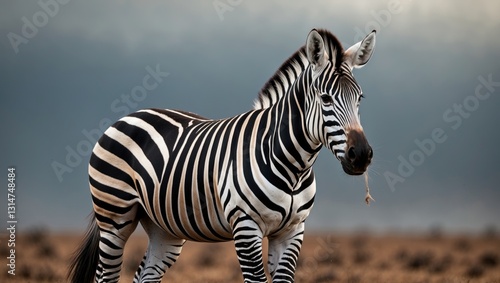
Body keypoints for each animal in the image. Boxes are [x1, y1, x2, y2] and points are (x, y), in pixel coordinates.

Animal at [69, 28, 376, 283]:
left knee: (144, 275)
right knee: (105, 276)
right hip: (114, 217)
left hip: (163, 227)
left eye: (360, 98)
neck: (294, 167)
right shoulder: (246, 226)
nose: (361, 155)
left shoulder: (292, 230)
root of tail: (127, 116)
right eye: (326, 99)